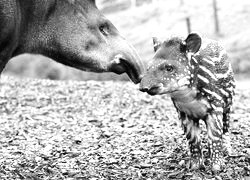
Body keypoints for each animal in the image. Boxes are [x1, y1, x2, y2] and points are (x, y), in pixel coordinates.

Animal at [140, 33, 235, 172]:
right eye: (148, 67)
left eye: (169, 68)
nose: (143, 87)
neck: (187, 97)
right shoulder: (184, 112)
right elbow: (193, 140)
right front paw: (194, 166)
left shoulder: (215, 106)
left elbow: (215, 136)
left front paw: (217, 167)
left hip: (228, 102)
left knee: (226, 126)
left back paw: (227, 150)